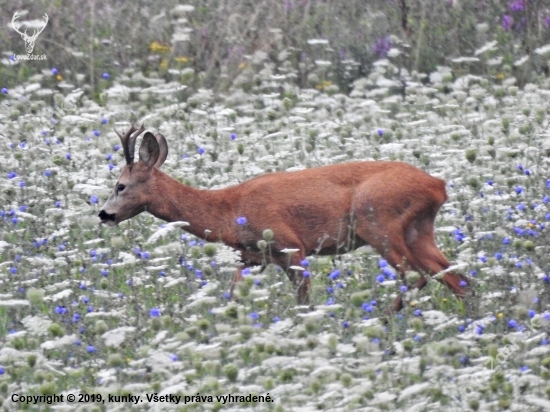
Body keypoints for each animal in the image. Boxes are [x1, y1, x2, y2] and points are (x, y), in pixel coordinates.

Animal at [98, 125, 470, 312]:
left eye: (120, 185)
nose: (104, 213)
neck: (227, 210)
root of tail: (437, 184)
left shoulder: (290, 245)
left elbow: (303, 299)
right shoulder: (252, 257)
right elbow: (233, 296)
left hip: (377, 223)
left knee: (414, 275)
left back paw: (384, 319)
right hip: (418, 230)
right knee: (456, 278)